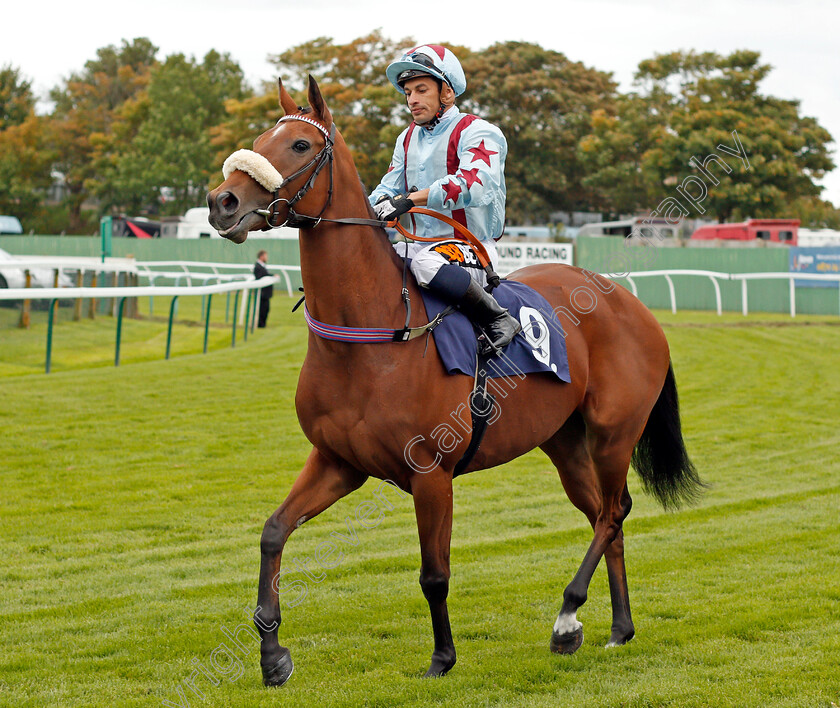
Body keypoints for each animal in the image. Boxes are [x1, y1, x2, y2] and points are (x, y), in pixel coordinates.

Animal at [208, 77, 704, 684]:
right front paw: (273, 654)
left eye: (300, 145)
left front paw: (442, 657)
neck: (374, 333)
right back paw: (618, 627)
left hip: (614, 434)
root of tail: (632, 305)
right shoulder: (338, 461)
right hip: (564, 442)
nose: (222, 202)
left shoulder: (431, 472)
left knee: (613, 512)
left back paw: (568, 618)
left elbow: (434, 574)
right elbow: (274, 531)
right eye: (259, 139)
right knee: (602, 516)